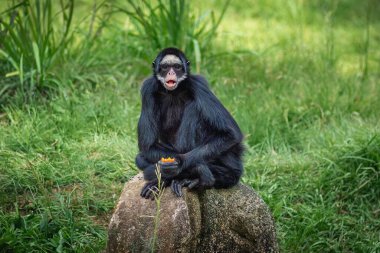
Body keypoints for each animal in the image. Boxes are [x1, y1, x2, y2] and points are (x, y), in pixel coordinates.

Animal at [136, 47, 243, 198]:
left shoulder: (198, 84)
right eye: (165, 67)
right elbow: (147, 147)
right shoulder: (148, 88)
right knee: (140, 158)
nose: (171, 72)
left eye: (177, 67)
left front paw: (181, 163)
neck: (173, 92)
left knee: (194, 107)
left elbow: (231, 134)